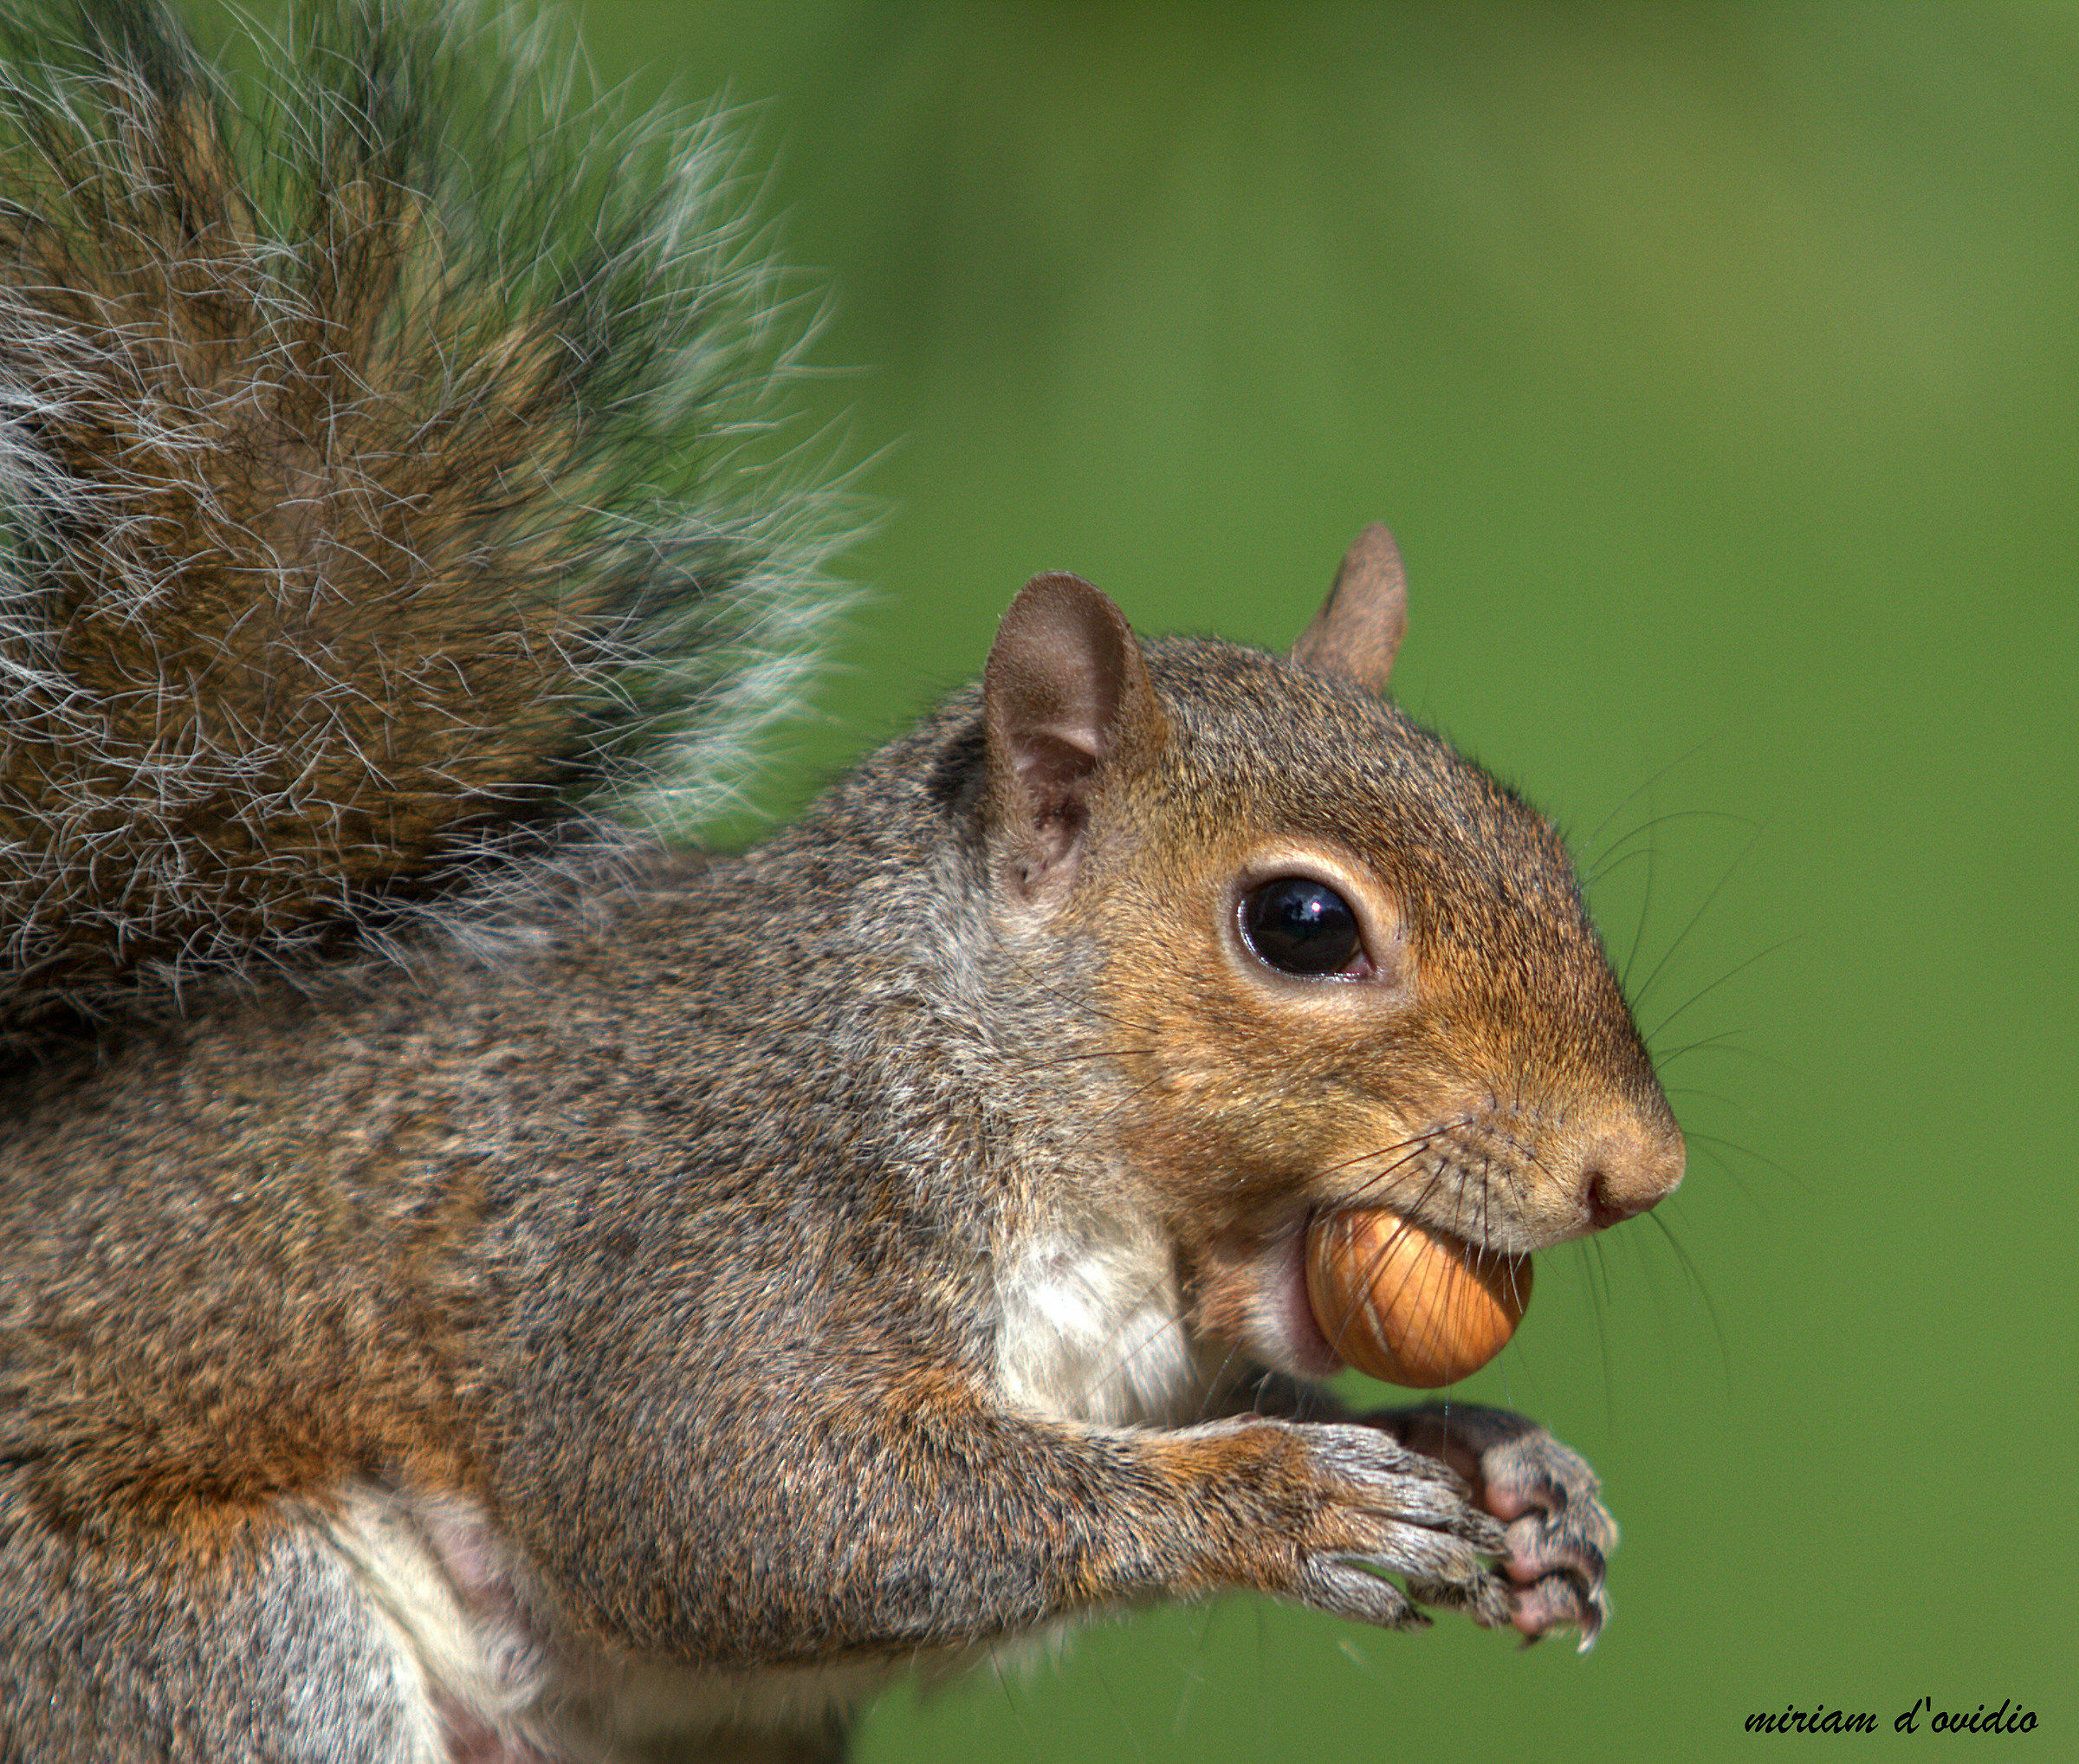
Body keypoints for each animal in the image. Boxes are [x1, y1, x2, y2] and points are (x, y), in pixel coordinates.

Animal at [0, 4, 1686, 1762]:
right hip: (204, 1642)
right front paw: (1290, 1501)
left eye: (1535, 833)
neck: (956, 1048)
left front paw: (1496, 1462)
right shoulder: (696, 1242)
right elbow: (761, 1503)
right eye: (1301, 926)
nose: (1639, 1169)